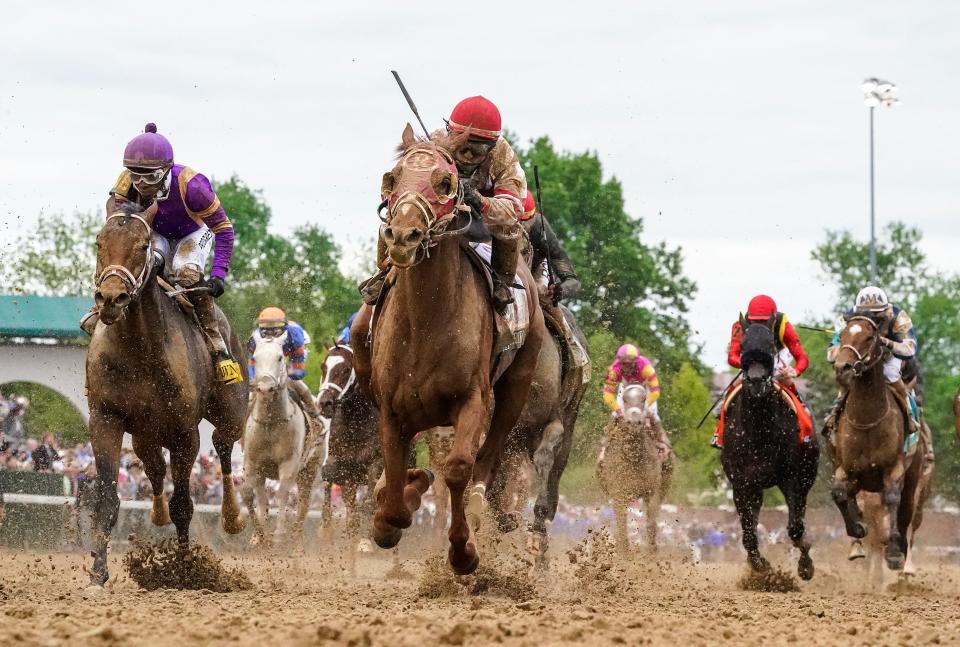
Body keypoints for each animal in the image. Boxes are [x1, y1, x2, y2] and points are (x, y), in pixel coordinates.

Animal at [83, 204, 248, 588]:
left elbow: (184, 506)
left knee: (223, 448)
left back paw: (232, 516)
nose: (111, 298)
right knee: (155, 468)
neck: (139, 348)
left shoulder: (184, 432)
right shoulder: (105, 418)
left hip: (230, 412)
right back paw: (156, 513)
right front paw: (98, 573)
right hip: (145, 434)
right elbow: (107, 499)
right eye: (99, 241)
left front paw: (185, 570)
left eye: (143, 246)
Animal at [242, 334, 310, 548]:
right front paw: (260, 535)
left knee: (304, 501)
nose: (265, 387)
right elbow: (259, 497)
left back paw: (296, 536)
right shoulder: (253, 464)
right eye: (255, 358)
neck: (271, 423)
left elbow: (281, 495)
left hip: (310, 470)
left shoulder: (289, 464)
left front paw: (279, 534)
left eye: (280, 357)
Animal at [352, 124, 548, 576]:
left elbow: (458, 469)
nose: (402, 236)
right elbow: (394, 476)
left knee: (488, 456)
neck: (426, 321)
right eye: (393, 178)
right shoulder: (391, 409)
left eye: (445, 182)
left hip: (516, 386)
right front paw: (389, 514)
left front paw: (463, 550)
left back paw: (474, 506)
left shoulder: (473, 399)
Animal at [720, 322, 816, 580]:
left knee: (799, 516)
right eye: (743, 345)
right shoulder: (742, 483)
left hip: (806, 475)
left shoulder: (791, 477)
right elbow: (748, 533)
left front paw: (805, 565)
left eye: (771, 346)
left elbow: (795, 528)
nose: (756, 380)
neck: (759, 429)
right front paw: (760, 566)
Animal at [828, 316, 928, 568]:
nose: (843, 367)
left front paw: (893, 552)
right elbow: (839, 493)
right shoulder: (845, 468)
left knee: (906, 510)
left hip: (914, 474)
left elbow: (893, 499)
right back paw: (857, 542)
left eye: (869, 337)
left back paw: (901, 549)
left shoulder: (894, 468)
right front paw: (857, 528)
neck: (867, 418)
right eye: (842, 335)